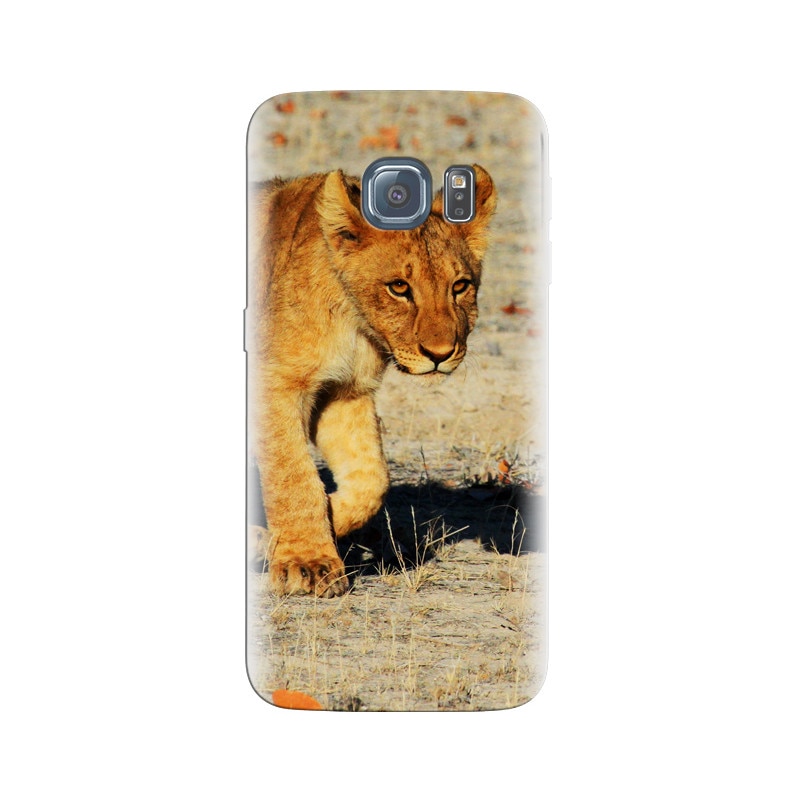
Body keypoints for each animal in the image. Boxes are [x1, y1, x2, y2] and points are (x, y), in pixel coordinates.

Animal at [248, 165, 497, 597]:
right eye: (399, 287)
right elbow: (293, 474)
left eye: (460, 286)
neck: (353, 321)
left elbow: (371, 478)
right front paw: (305, 564)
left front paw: (323, 523)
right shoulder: (276, 384)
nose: (440, 354)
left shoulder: (345, 392)